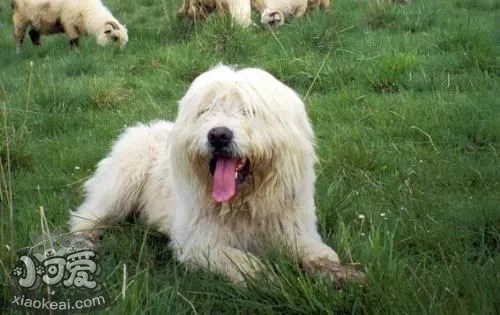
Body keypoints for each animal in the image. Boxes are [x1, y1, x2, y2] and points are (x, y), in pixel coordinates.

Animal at [68, 65, 366, 286]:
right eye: (206, 110)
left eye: (249, 111)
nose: (219, 135)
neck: (244, 203)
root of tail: (143, 127)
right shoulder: (199, 242)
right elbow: (244, 264)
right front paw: (272, 279)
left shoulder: (295, 230)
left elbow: (318, 253)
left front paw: (339, 273)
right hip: (121, 184)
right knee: (84, 219)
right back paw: (86, 243)